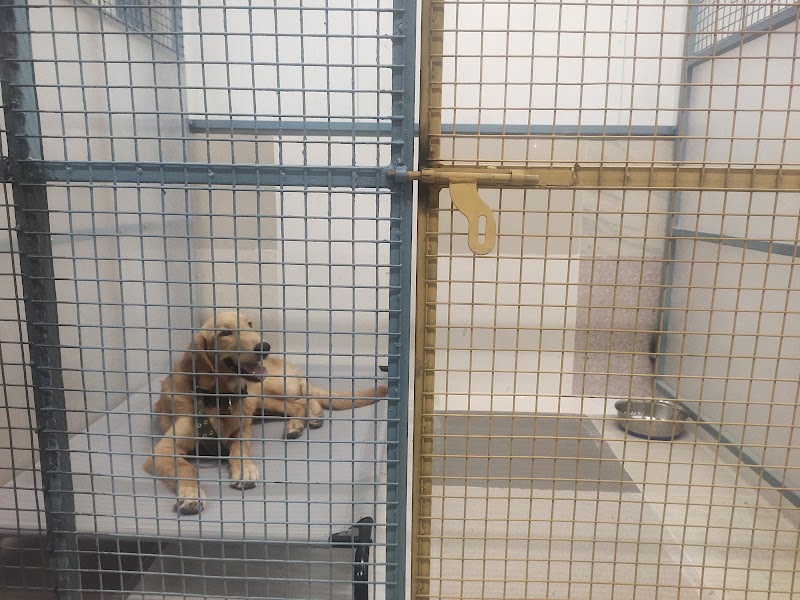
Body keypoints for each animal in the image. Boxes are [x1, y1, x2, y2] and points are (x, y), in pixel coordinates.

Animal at [144, 311, 387, 515]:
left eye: (250, 325)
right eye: (225, 332)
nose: (264, 346)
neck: (220, 399)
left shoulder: (242, 431)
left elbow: (239, 451)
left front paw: (244, 470)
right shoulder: (163, 451)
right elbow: (186, 468)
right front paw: (191, 494)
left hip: (264, 392)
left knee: (304, 396)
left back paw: (307, 418)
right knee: (301, 402)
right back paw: (304, 421)